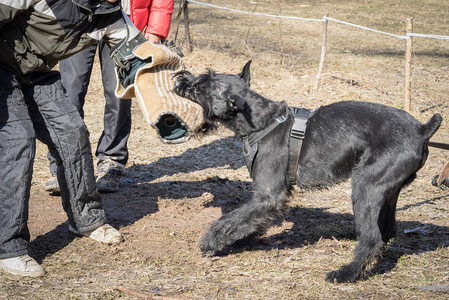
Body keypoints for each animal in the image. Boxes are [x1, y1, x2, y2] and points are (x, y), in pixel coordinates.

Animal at [172, 62, 440, 282]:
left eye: (202, 84)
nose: (180, 79)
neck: (261, 122)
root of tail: (422, 130)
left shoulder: (269, 195)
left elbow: (233, 218)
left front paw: (212, 241)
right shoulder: (272, 198)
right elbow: (251, 218)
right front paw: (241, 239)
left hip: (366, 188)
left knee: (372, 239)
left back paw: (346, 273)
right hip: (387, 192)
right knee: (386, 230)